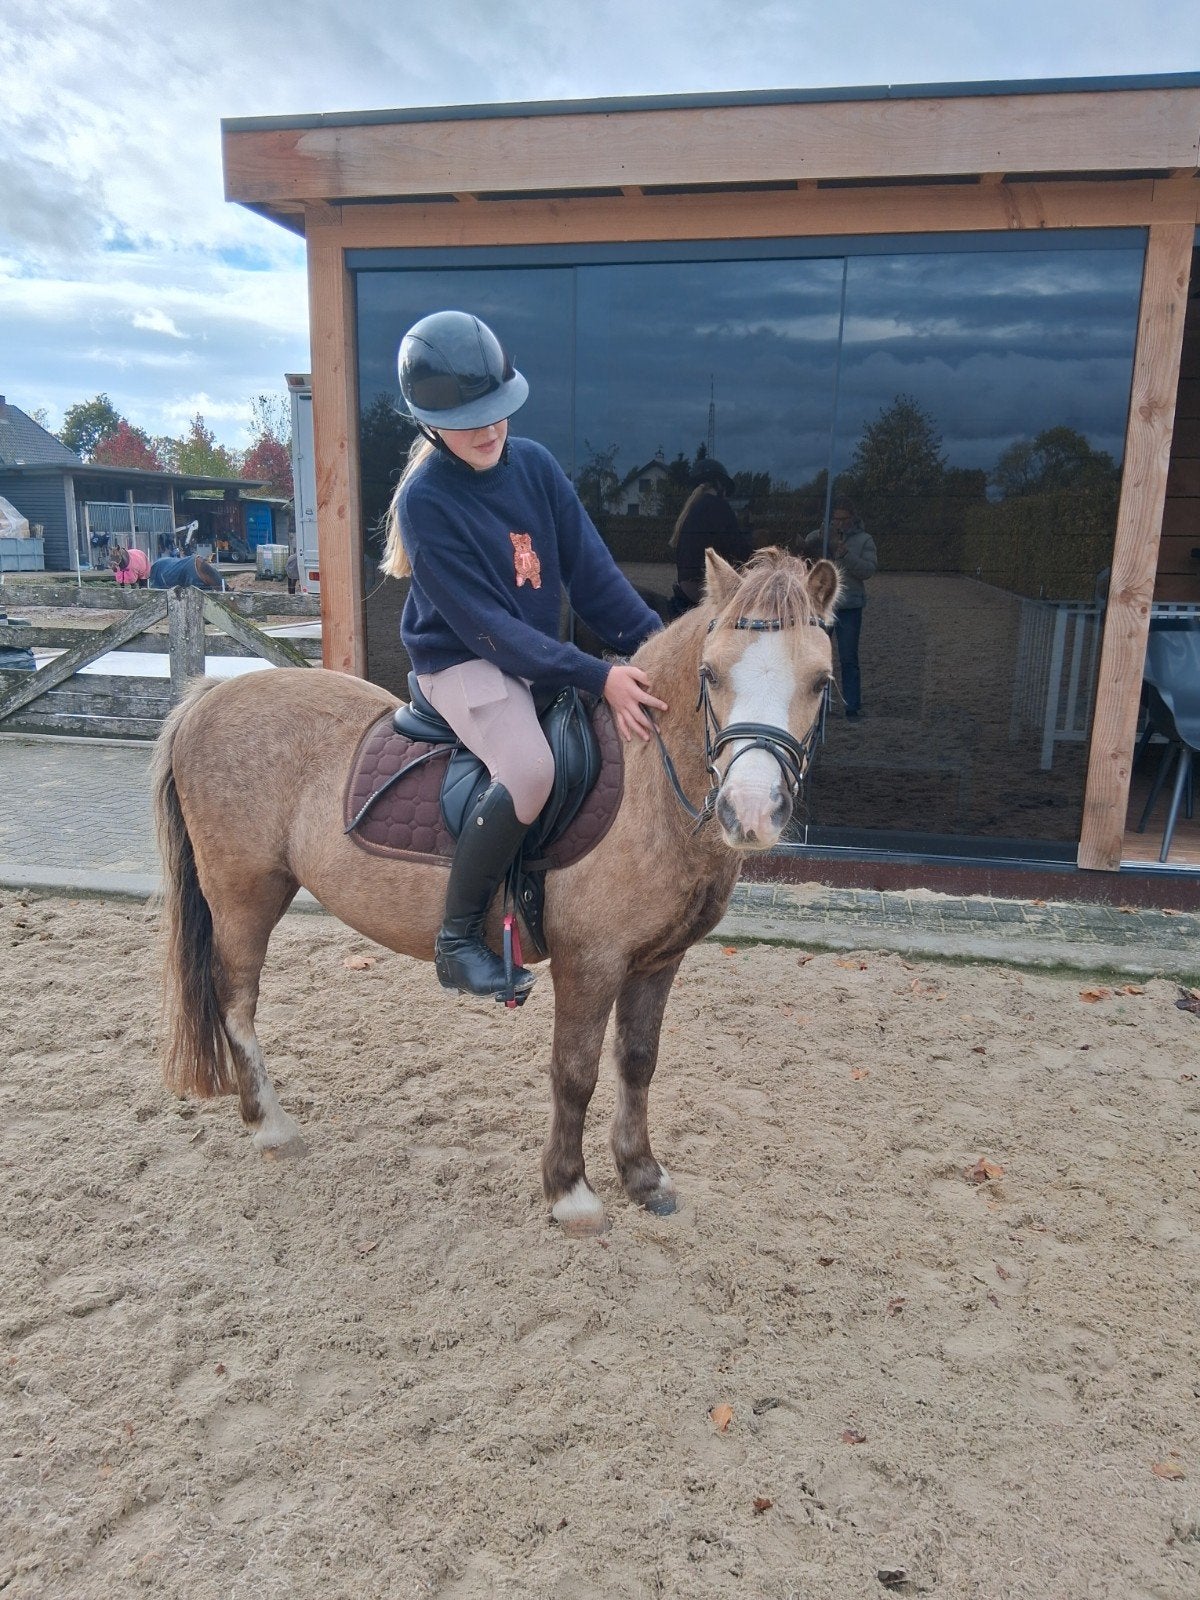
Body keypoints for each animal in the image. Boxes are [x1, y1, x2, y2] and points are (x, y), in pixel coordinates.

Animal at [151, 548, 839, 1234]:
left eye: (820, 682)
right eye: (711, 674)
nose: (750, 812)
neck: (647, 787)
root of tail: (212, 695)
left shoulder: (657, 962)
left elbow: (638, 1061)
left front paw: (643, 1175)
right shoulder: (589, 962)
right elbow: (576, 1072)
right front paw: (570, 1191)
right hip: (244, 896)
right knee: (236, 1003)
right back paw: (271, 1125)